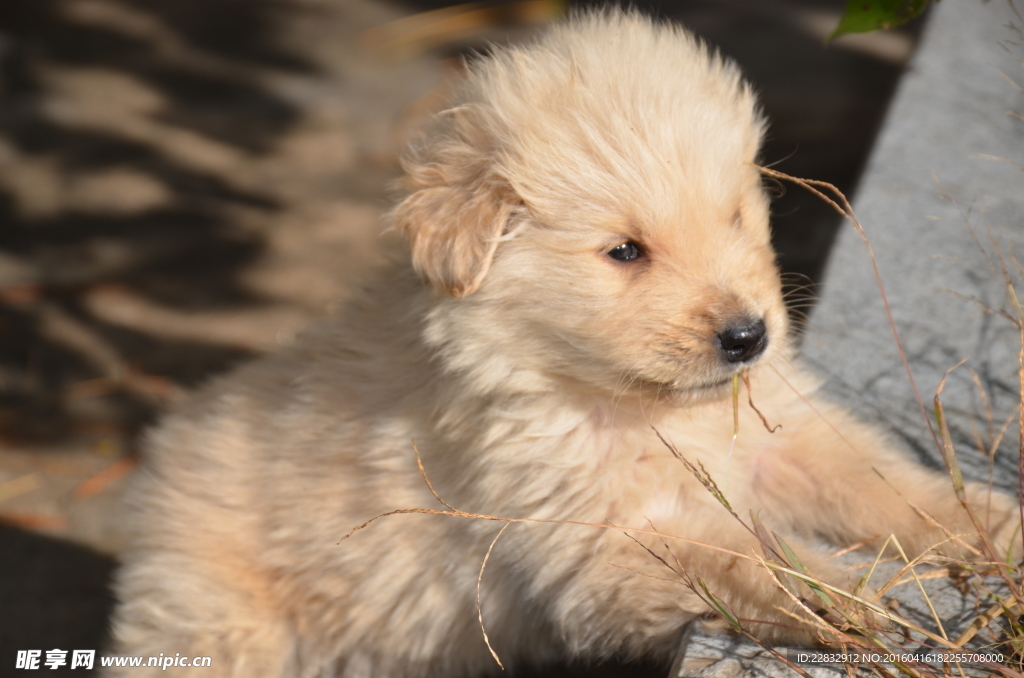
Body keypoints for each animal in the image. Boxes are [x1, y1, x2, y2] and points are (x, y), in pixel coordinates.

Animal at [108, 10, 1019, 678]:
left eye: (734, 217)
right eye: (625, 252)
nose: (748, 337)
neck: (630, 404)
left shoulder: (777, 438)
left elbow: (883, 486)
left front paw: (994, 527)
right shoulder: (599, 539)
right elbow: (741, 553)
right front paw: (840, 595)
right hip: (219, 623)